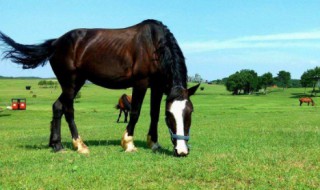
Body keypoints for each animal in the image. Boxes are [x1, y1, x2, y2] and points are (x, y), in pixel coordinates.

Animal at [0, 19, 199, 157]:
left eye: (189, 112)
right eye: (171, 115)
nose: (182, 151)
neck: (153, 45)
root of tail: (56, 43)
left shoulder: (157, 86)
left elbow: (154, 115)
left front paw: (154, 143)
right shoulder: (140, 83)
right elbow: (135, 113)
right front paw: (128, 143)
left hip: (76, 83)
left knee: (57, 106)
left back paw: (57, 145)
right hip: (70, 84)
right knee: (68, 110)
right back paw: (79, 145)